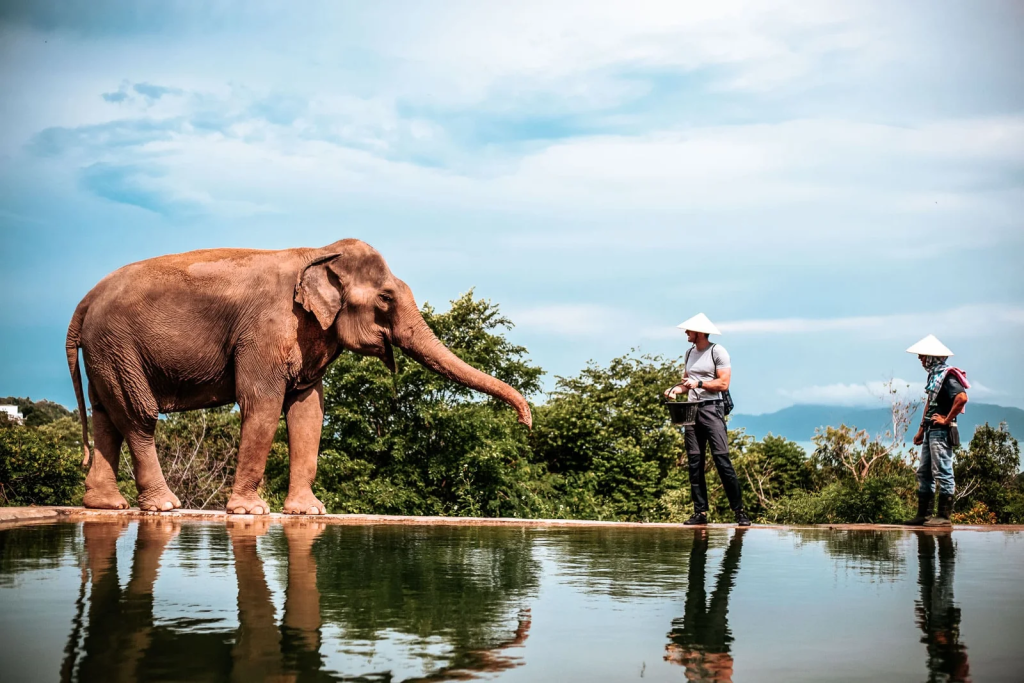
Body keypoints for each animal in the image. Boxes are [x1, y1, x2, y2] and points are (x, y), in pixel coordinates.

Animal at [67, 239, 532, 511]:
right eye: (385, 298)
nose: (526, 422)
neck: (318, 251)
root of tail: (85, 299)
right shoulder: (266, 328)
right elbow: (263, 403)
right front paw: (251, 512)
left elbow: (309, 411)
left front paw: (308, 512)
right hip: (117, 344)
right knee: (138, 416)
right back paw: (164, 506)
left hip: (107, 351)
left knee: (106, 413)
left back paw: (106, 506)